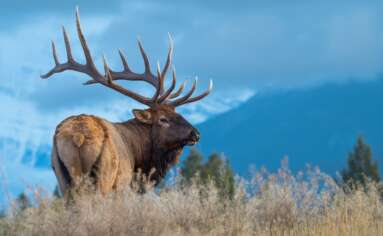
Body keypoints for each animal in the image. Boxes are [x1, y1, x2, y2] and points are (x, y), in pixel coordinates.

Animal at [41, 9, 213, 196]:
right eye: (163, 119)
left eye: (177, 113)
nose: (196, 133)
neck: (140, 159)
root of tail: (78, 136)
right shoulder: (123, 185)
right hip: (106, 176)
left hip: (61, 175)